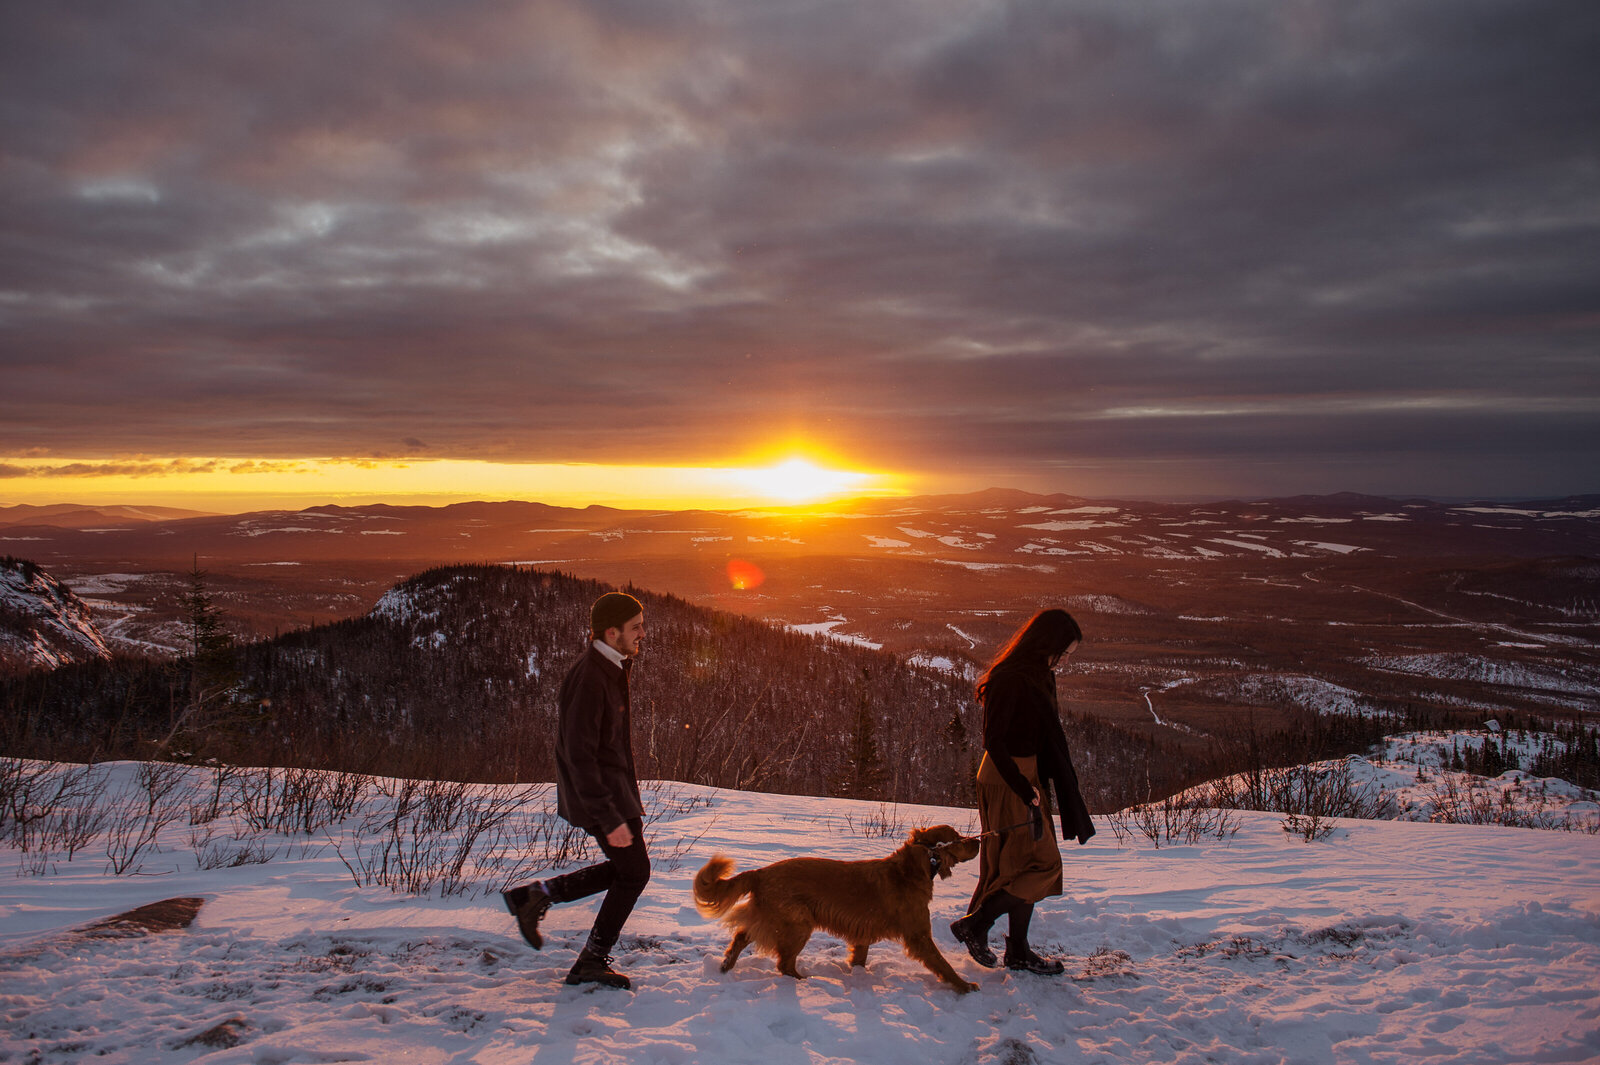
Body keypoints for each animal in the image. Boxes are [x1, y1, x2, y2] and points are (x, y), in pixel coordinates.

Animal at [694, 825, 979, 991]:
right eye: (958, 839)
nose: (978, 841)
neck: (908, 870)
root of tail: (761, 873)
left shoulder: (864, 932)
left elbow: (860, 957)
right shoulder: (919, 935)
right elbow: (943, 963)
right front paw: (963, 986)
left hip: (775, 920)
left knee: (742, 937)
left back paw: (726, 966)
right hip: (798, 925)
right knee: (783, 963)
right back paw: (803, 981)